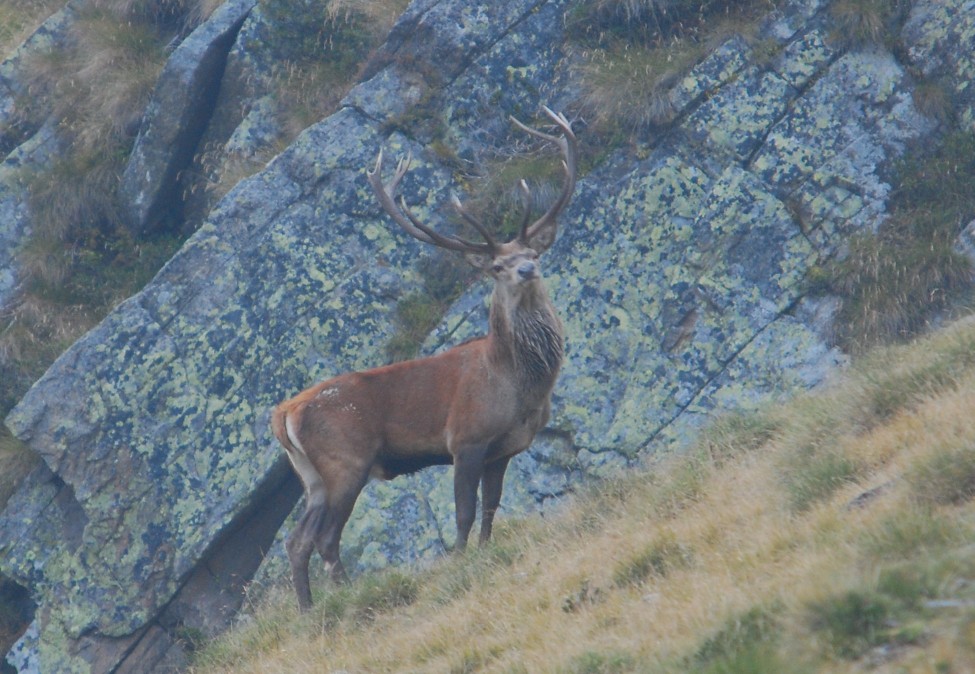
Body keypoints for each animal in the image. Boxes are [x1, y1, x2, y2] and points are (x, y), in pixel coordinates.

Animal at [270, 105, 576, 608]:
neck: (517, 384)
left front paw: (485, 552)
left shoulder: (504, 448)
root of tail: (283, 414)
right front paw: (460, 561)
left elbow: (491, 508)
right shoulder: (466, 438)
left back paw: (308, 611)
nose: (527, 269)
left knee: (297, 542)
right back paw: (347, 598)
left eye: (532, 251)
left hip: (310, 478)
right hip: (345, 462)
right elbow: (464, 512)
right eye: (497, 266)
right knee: (326, 540)